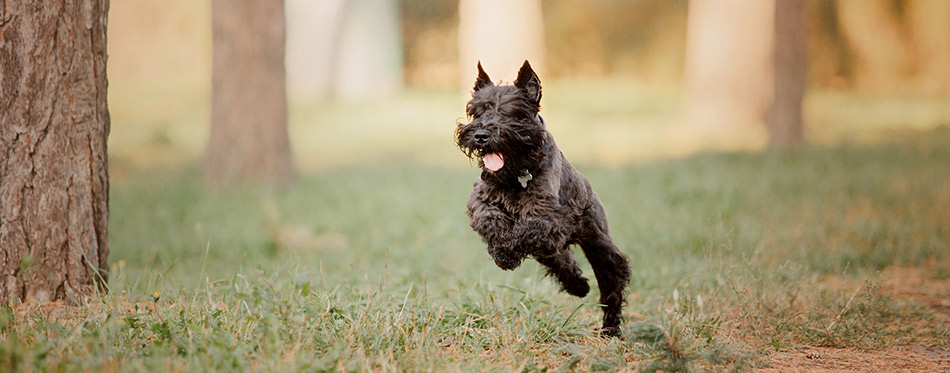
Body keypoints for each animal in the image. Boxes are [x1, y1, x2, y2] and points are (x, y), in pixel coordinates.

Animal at [456, 60, 632, 334]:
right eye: (477, 112)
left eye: (509, 112)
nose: (481, 135)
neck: (518, 173)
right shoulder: (480, 199)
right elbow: (489, 218)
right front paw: (500, 250)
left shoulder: (550, 218)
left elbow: (525, 230)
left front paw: (507, 253)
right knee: (562, 261)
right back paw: (578, 286)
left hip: (599, 244)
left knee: (612, 280)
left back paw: (610, 330)